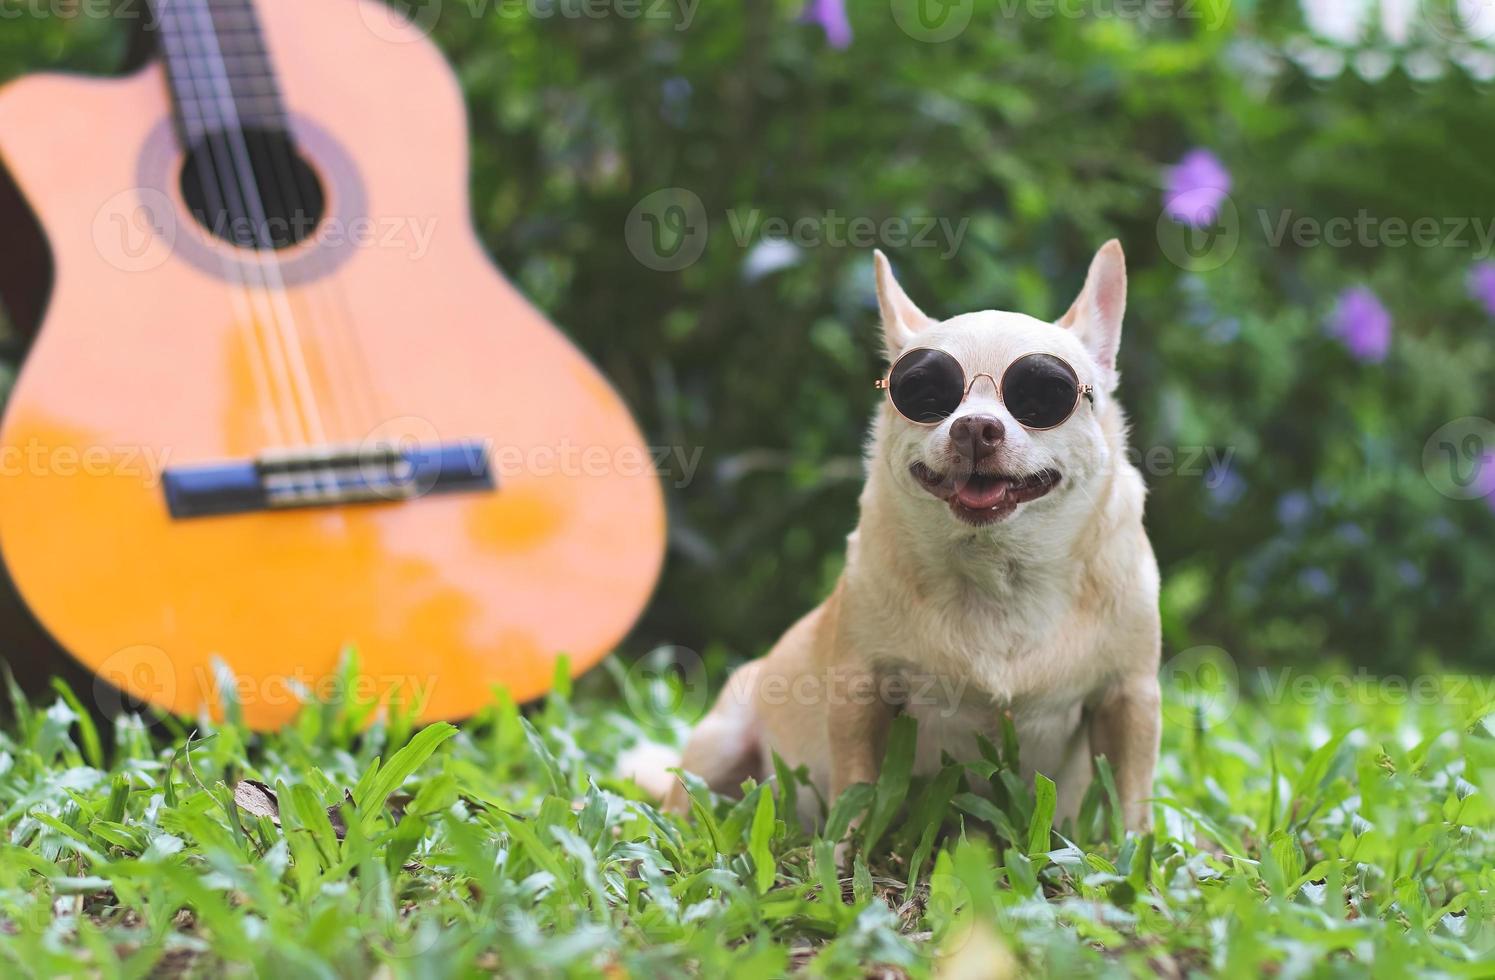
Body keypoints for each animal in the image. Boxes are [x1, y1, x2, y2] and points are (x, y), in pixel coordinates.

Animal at [624, 239, 1160, 842]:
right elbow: (857, 789)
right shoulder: (863, 691)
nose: (975, 427)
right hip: (719, 742)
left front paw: (1132, 855)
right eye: (924, 394)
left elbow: (1130, 802)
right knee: (686, 801)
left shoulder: (1130, 699)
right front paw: (844, 853)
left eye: (1044, 397)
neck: (999, 572)